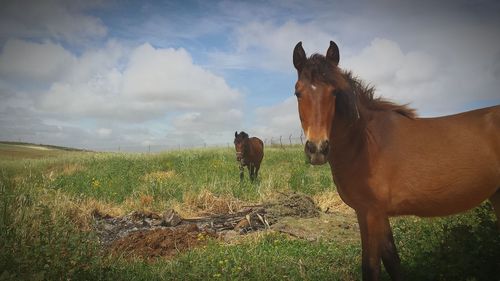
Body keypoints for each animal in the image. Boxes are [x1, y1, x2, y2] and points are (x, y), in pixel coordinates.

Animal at [292, 40, 500, 278]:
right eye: (298, 93)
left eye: (334, 92)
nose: (317, 149)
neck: (364, 143)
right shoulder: (375, 215)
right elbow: (393, 261)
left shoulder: (370, 213)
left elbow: (371, 268)